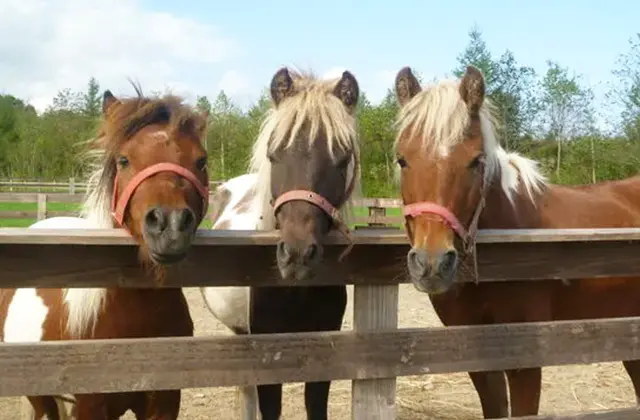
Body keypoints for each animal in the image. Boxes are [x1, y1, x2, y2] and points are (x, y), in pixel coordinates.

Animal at [0, 87, 210, 418]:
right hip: (42, 398)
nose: (171, 225)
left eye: (201, 161)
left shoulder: (164, 402)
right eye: (123, 160)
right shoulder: (90, 406)